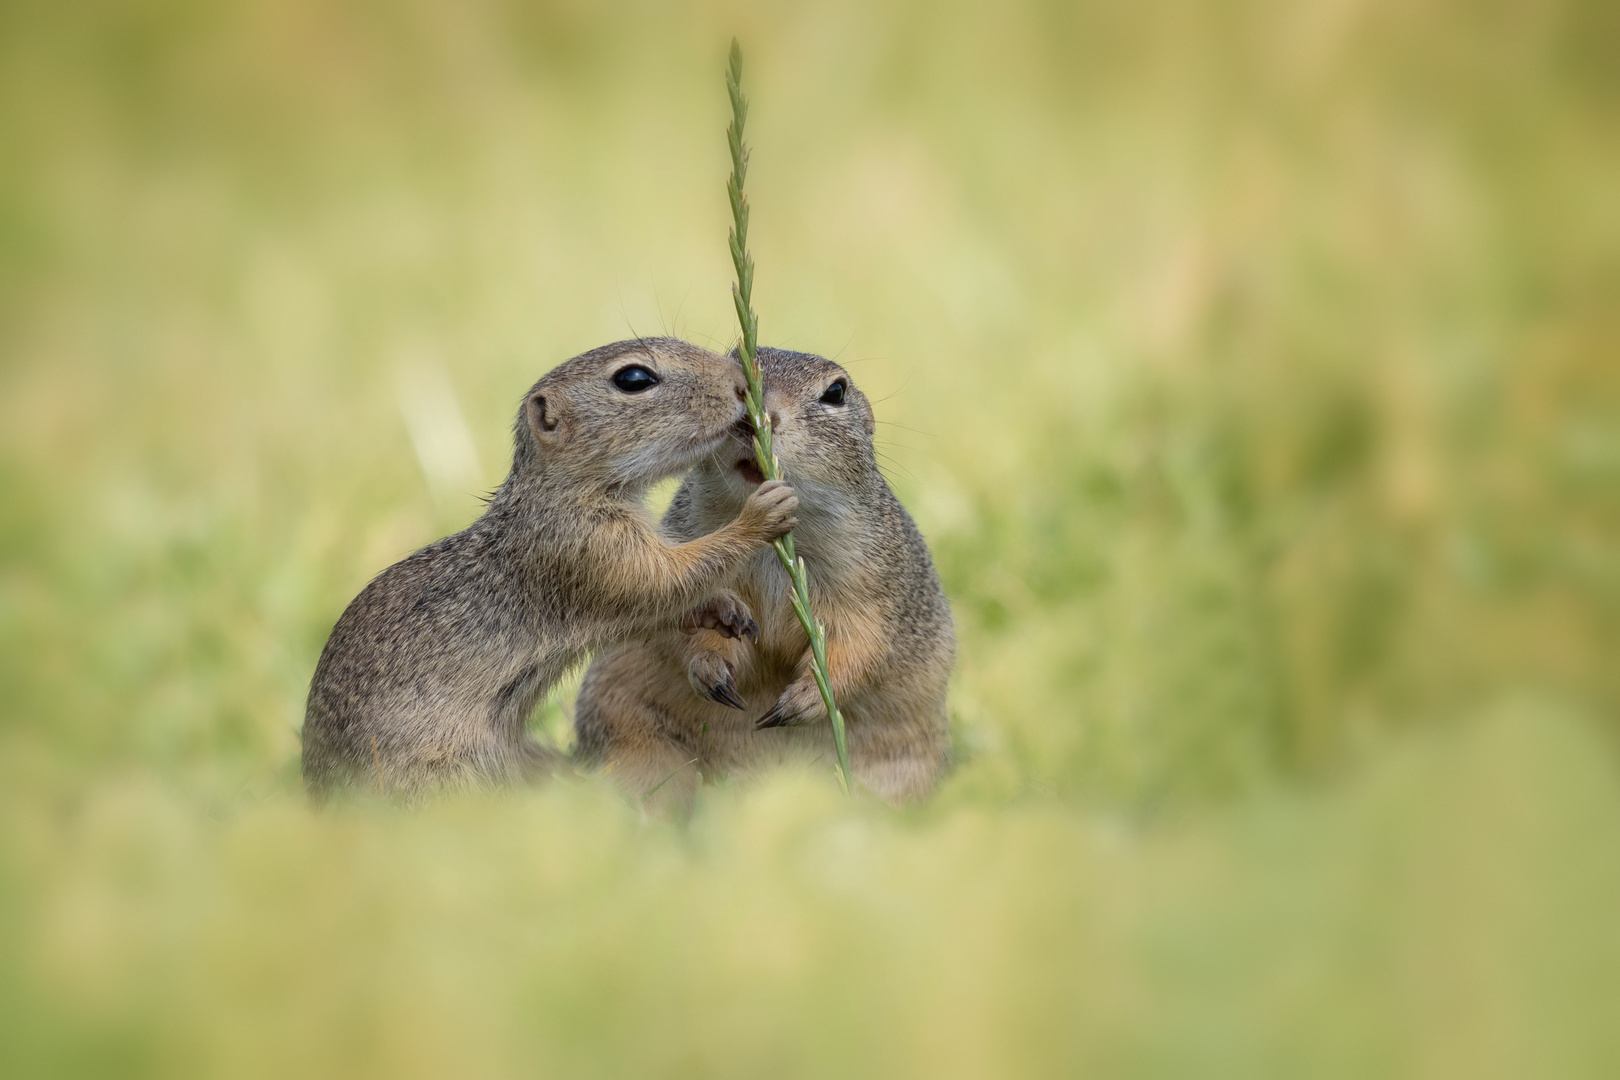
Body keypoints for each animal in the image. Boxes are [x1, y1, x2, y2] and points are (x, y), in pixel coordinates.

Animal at [301, 340, 800, 803]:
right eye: (634, 379)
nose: (742, 382)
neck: (559, 493)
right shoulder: (591, 551)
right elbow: (668, 575)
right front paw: (761, 514)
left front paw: (724, 608)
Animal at [573, 344, 952, 803]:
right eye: (731, 366)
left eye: (836, 392)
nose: (755, 418)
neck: (776, 544)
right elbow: (695, 617)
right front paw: (710, 669)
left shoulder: (872, 580)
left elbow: (858, 644)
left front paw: (807, 697)